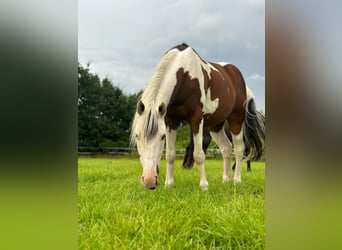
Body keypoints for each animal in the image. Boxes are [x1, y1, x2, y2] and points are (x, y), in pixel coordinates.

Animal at [131, 44, 264, 190]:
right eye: (137, 136)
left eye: (162, 137)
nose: (149, 180)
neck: (184, 75)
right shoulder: (170, 120)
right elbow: (170, 154)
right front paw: (169, 184)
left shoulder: (196, 119)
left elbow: (198, 154)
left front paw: (204, 186)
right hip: (215, 126)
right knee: (227, 148)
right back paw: (226, 180)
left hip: (236, 119)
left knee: (239, 149)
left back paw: (236, 180)